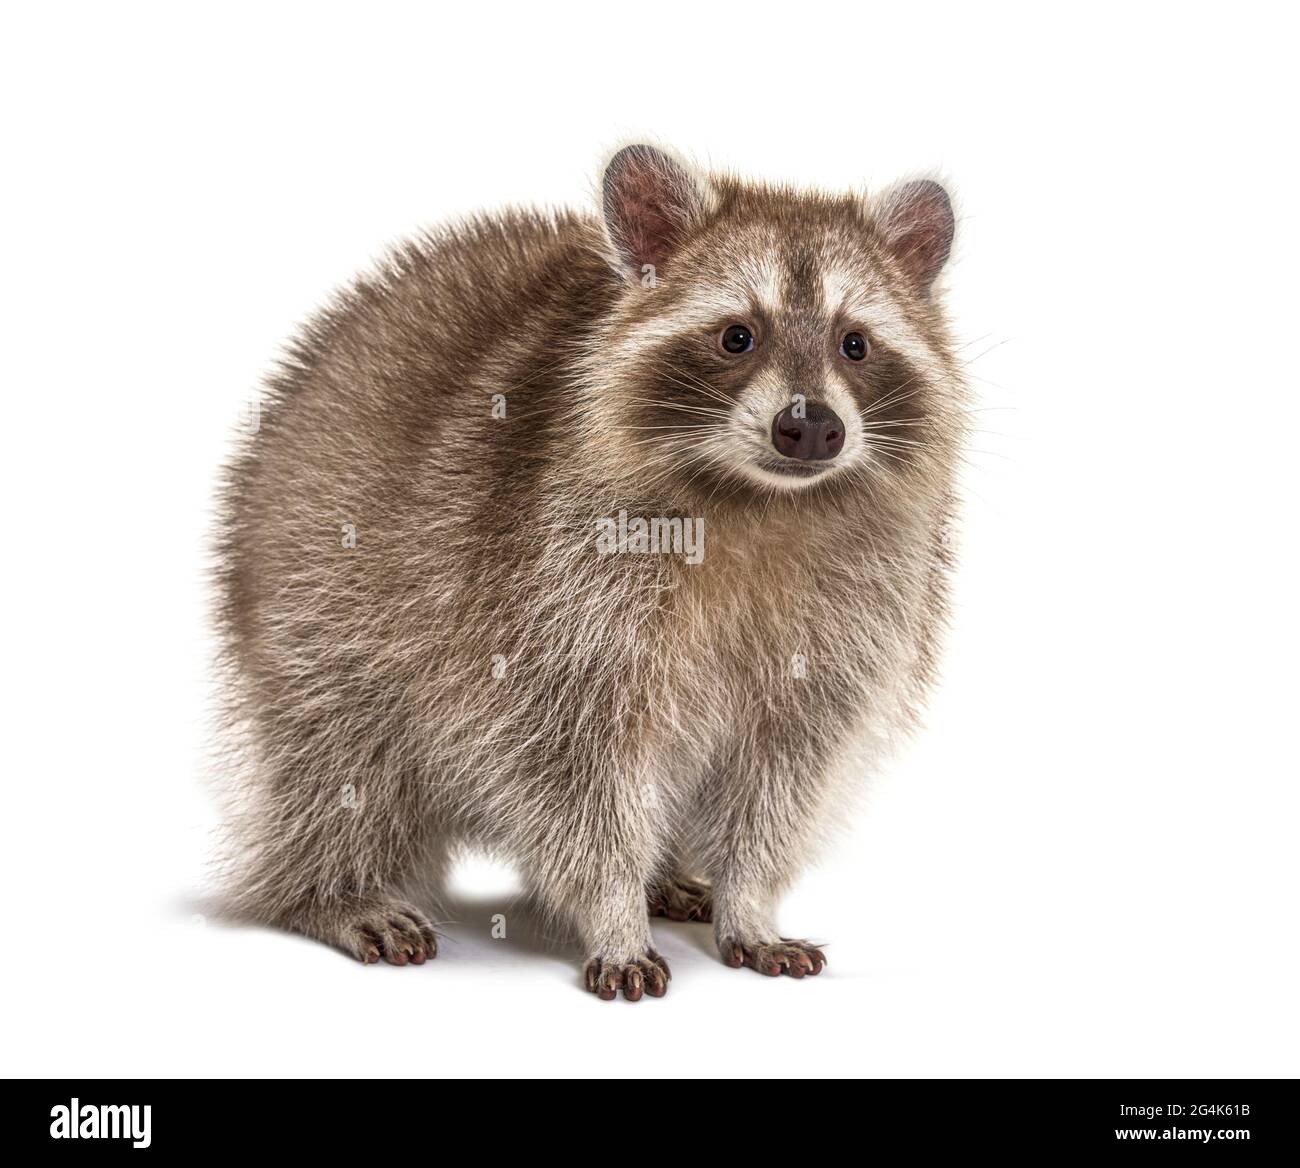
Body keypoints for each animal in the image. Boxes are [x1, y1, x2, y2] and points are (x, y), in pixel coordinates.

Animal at [215, 143, 967, 998]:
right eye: (737, 336)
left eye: (855, 343)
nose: (810, 427)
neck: (761, 502)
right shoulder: (540, 583)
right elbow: (571, 769)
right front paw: (613, 912)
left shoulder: (863, 606)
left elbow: (783, 772)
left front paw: (749, 901)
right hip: (309, 591)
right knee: (337, 756)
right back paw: (330, 890)